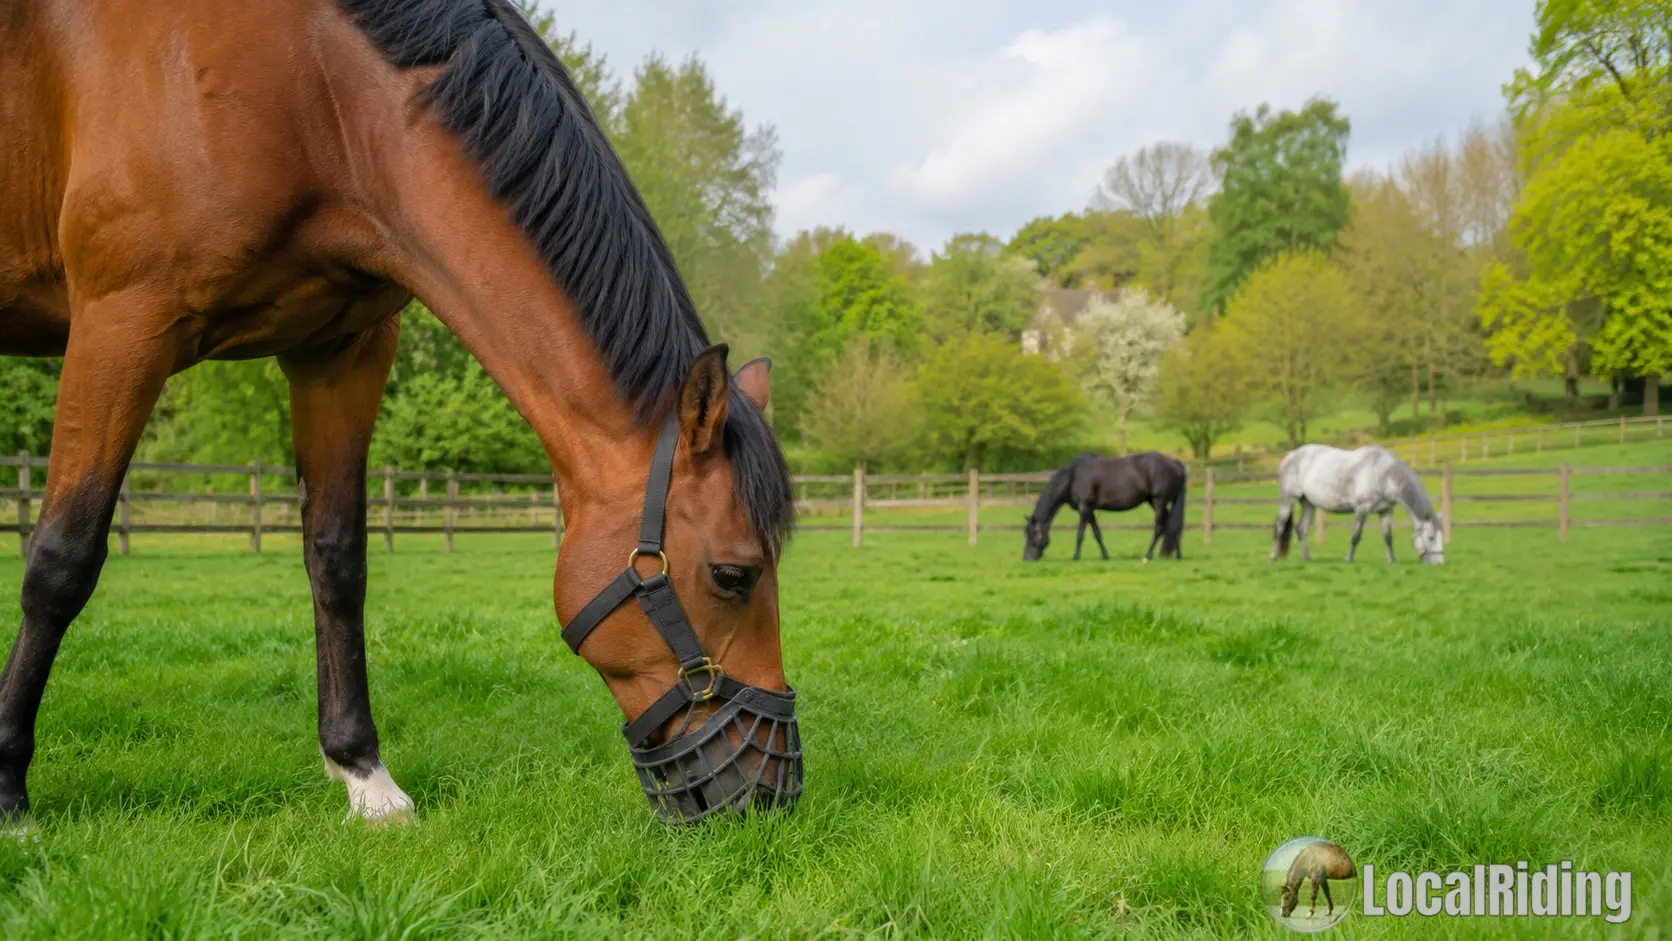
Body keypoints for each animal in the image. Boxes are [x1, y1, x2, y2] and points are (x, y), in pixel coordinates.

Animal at [0, 0, 800, 825]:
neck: (314, 90)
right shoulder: (122, 325)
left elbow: (337, 559)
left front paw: (363, 772)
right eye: (734, 574)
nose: (772, 788)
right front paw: (8, 787)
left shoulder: (342, 351)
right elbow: (61, 557)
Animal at [1022, 452, 1187, 562]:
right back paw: (1177, 554)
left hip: (1159, 501)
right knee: (1171, 525)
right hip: (1154, 502)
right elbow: (1097, 533)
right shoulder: (1090, 510)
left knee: (1160, 527)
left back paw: (1148, 556)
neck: (1073, 476)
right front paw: (1105, 556)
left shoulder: (1084, 508)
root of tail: (1175, 463)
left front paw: (1076, 556)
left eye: (1032, 534)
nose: (1026, 558)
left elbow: (1080, 534)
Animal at [1271, 445, 1445, 565]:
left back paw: (1307, 559)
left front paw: (1392, 560)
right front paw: (1348, 559)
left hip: (1308, 503)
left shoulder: (1386, 511)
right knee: (1280, 526)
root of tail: (1291, 455)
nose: (1439, 563)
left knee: (1301, 529)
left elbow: (1388, 537)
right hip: (1288, 500)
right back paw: (1272, 558)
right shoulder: (1362, 509)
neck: (1383, 474)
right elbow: (1356, 536)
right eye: (1430, 537)